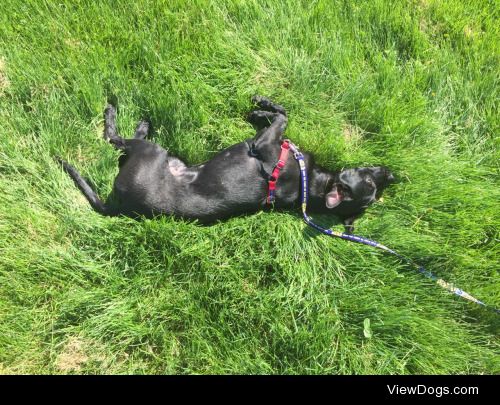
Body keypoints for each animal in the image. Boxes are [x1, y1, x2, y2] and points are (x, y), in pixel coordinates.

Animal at [58, 96, 394, 232]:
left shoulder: (265, 146)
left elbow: (283, 117)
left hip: (149, 155)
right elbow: (282, 114)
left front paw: (262, 108)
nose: (390, 172)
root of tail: (119, 206)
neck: (308, 182)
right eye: (372, 179)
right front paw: (262, 109)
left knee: (114, 138)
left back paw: (118, 115)